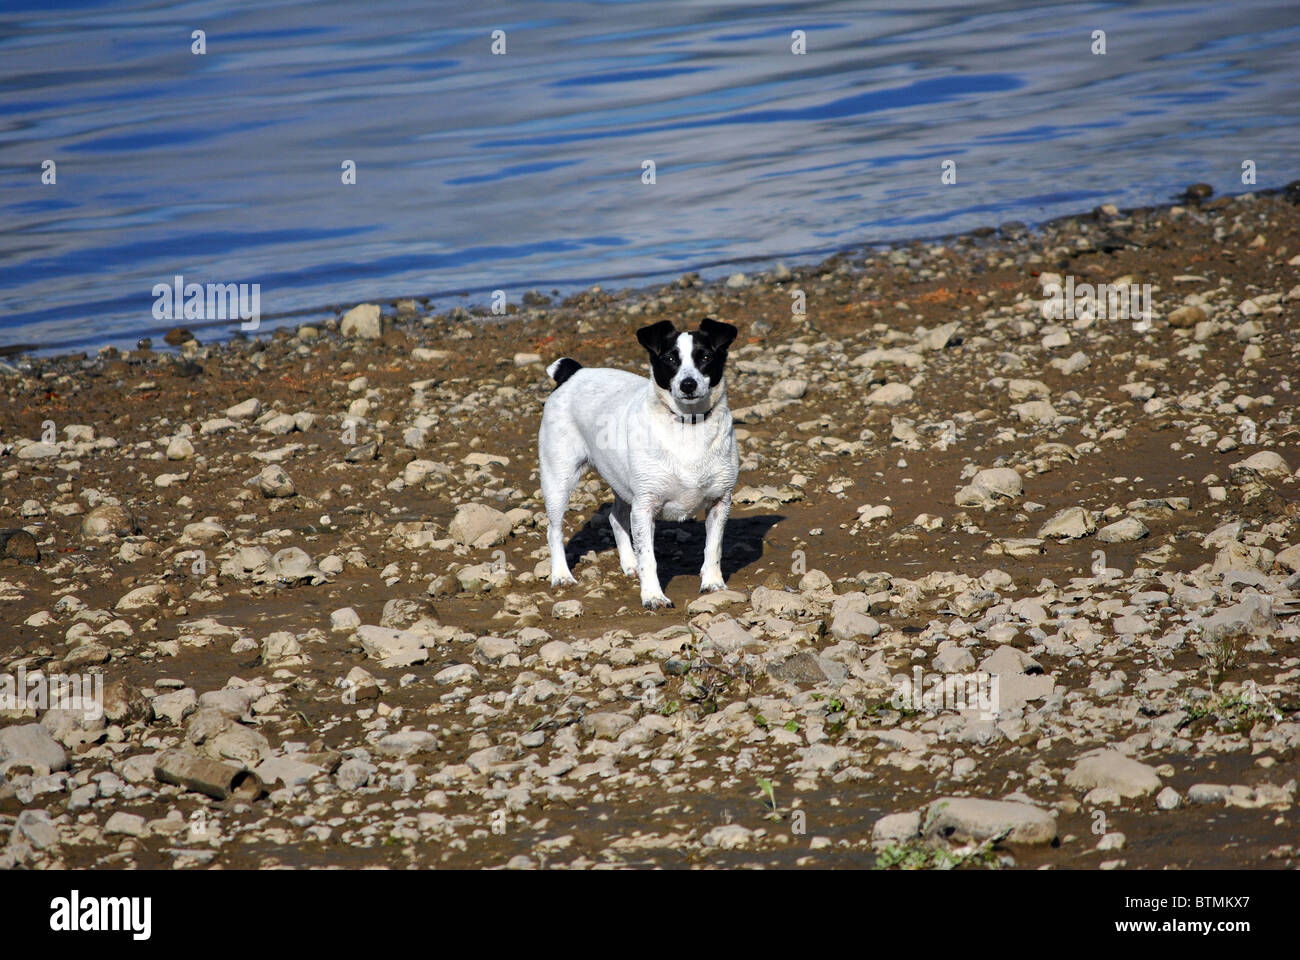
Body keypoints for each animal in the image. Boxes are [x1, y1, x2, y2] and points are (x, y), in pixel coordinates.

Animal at [540, 317, 743, 608]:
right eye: (670, 359)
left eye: (705, 357)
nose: (688, 384)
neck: (689, 425)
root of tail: (573, 373)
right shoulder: (645, 507)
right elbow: (649, 557)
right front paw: (653, 595)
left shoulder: (719, 502)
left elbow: (713, 548)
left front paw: (713, 583)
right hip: (558, 480)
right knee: (554, 530)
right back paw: (561, 574)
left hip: (623, 486)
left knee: (615, 518)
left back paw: (629, 563)